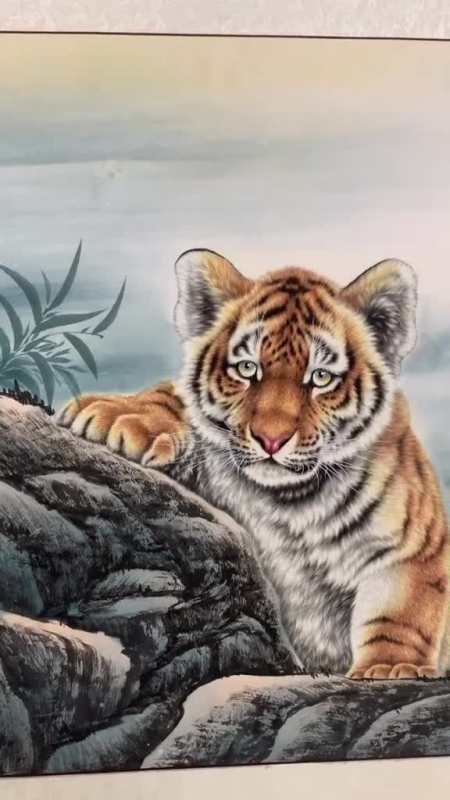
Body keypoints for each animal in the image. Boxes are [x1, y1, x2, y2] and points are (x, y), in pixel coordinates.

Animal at [58, 248, 450, 679]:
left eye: (321, 377)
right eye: (248, 369)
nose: (271, 439)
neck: (286, 501)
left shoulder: (414, 549)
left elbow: (399, 616)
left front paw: (392, 667)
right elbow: (174, 397)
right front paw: (117, 414)